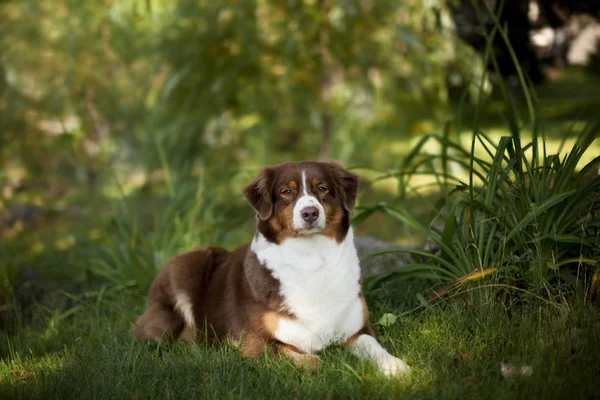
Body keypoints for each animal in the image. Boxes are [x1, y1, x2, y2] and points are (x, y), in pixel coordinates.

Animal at [132, 161, 410, 376]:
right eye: (286, 191)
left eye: (323, 189)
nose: (310, 212)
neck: (311, 258)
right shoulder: (253, 342)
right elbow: (313, 361)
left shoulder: (357, 330)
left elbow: (374, 347)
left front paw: (396, 367)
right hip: (184, 269)